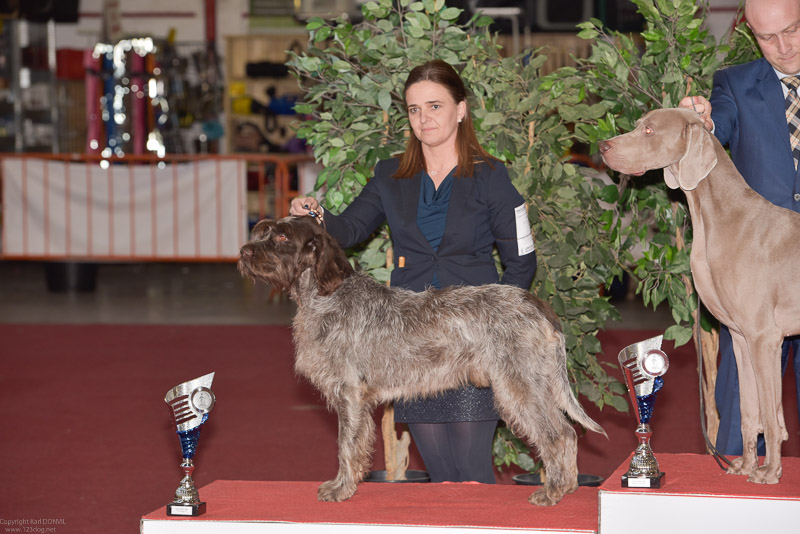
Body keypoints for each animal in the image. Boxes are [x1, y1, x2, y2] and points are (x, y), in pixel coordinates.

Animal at [239, 217, 608, 506]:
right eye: (263, 231)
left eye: (282, 237)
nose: (244, 252)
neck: (325, 295)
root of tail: (535, 303)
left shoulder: (350, 394)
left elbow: (346, 446)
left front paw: (342, 489)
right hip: (534, 383)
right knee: (568, 432)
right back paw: (569, 486)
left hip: (519, 385)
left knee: (557, 434)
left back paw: (553, 490)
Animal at [600, 108, 800, 486]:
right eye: (638, 124)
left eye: (649, 130)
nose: (604, 146)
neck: (719, 217)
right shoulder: (740, 338)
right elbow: (749, 410)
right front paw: (746, 466)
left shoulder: (764, 337)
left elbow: (770, 412)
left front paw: (769, 472)